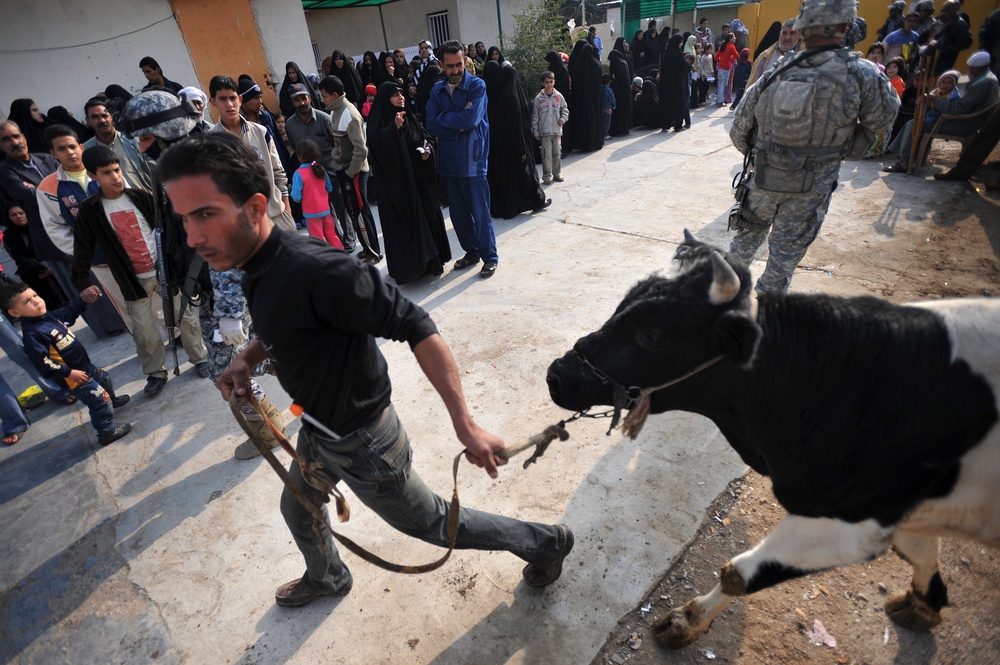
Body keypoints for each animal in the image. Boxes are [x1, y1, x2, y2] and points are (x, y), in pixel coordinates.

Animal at [548, 231, 1000, 644]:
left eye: (655, 335)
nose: (556, 375)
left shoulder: (847, 524)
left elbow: (739, 574)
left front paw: (684, 622)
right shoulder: (905, 509)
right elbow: (921, 550)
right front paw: (926, 604)